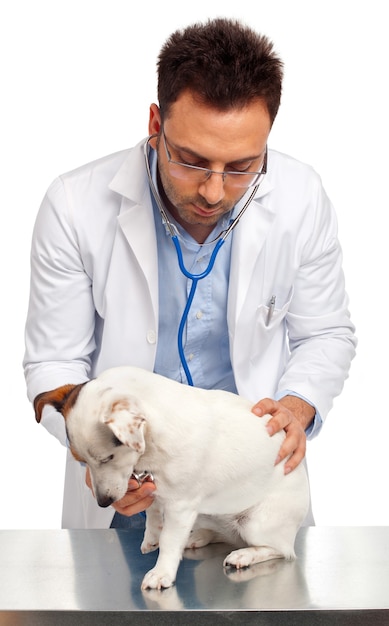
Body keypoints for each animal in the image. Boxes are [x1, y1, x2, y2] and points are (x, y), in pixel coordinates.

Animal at [35, 364, 310, 588]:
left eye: (107, 458)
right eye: (82, 461)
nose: (103, 502)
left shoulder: (181, 506)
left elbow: (169, 540)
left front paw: (161, 573)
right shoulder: (158, 491)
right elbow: (153, 515)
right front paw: (151, 538)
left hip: (256, 524)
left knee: (280, 550)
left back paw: (245, 554)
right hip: (210, 514)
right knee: (224, 534)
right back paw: (198, 536)